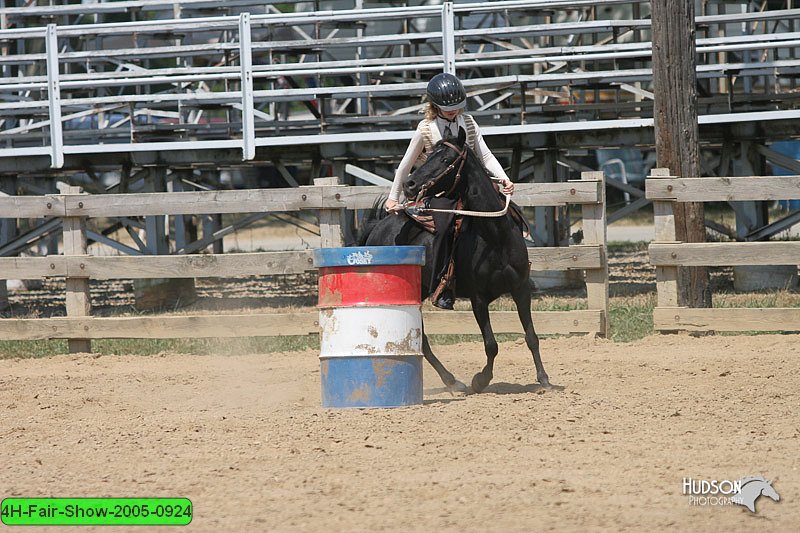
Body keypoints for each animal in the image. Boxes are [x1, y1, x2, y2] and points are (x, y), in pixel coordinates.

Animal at [358, 124, 552, 390]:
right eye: (428, 155)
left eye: (446, 160)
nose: (409, 184)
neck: (496, 237)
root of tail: (378, 227)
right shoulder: (478, 298)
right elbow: (491, 345)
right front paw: (480, 380)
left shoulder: (521, 288)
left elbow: (531, 336)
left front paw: (544, 378)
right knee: (421, 338)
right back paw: (452, 381)